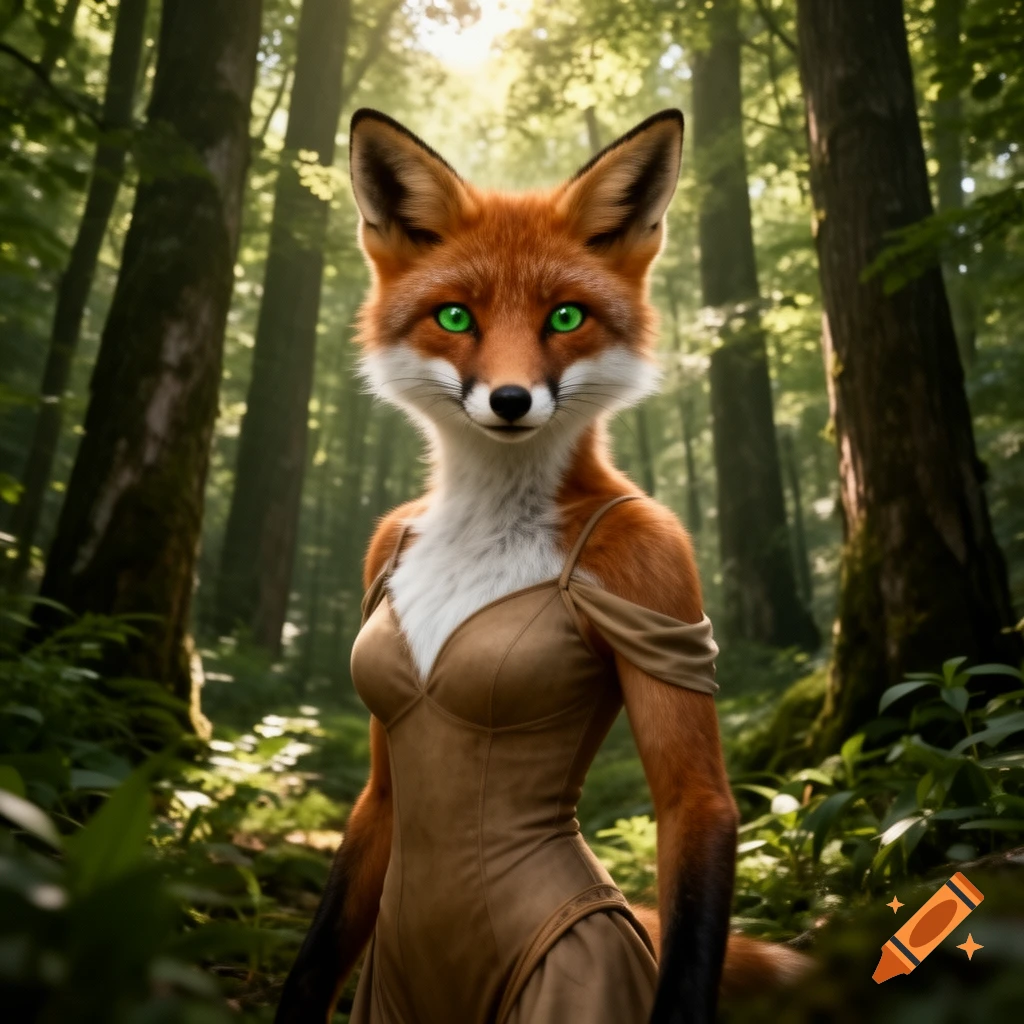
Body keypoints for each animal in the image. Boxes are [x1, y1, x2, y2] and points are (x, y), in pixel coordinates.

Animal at [275, 109, 808, 1024]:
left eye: (564, 318)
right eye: (456, 317)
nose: (511, 400)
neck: (487, 523)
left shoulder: (657, 564)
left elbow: (693, 799)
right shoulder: (383, 559)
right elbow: (329, 924)